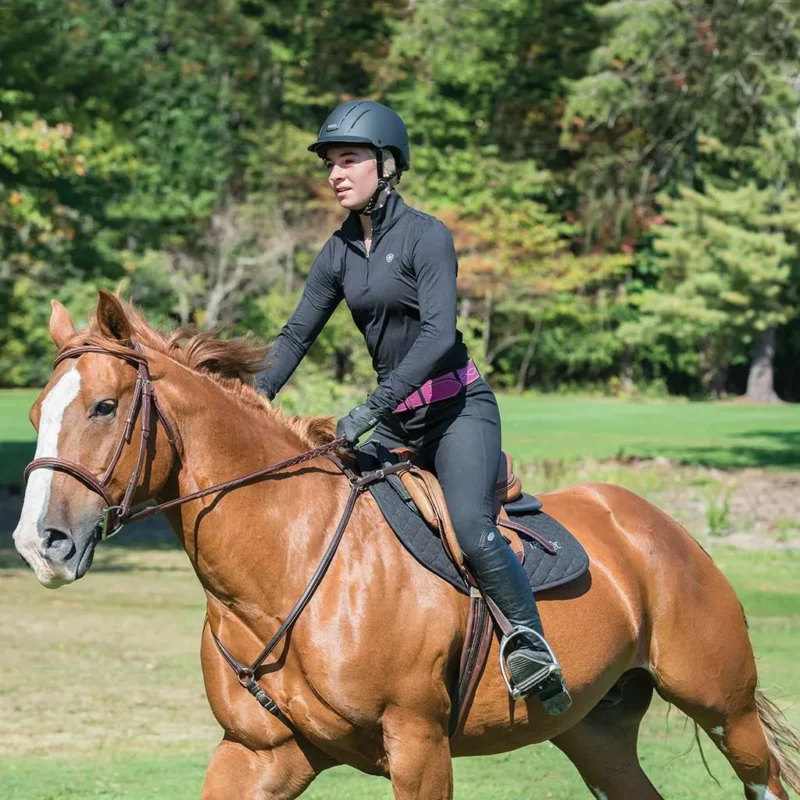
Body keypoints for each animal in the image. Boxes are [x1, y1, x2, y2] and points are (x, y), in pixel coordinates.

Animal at [12, 290, 800, 800]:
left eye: (104, 406)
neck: (284, 566)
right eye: (35, 412)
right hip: (595, 732)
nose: (38, 543)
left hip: (723, 707)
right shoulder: (259, 754)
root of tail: (658, 525)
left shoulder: (418, 747)